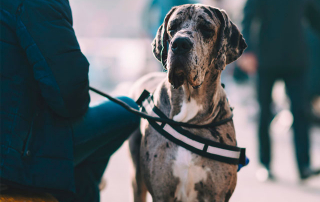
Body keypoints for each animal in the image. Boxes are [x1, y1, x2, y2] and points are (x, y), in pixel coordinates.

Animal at [129, 3, 246, 202]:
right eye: (172, 28)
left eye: (207, 29)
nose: (180, 43)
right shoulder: (162, 192)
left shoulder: (216, 194)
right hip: (138, 179)